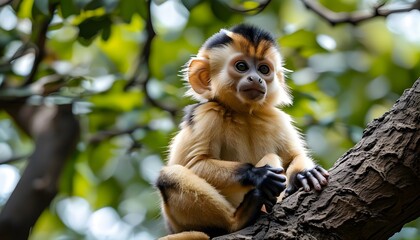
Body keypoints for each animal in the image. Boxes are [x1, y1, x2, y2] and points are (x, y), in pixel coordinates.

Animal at [156, 23, 330, 239]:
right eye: (241, 66)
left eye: (264, 69)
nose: (256, 78)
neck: (244, 113)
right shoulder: (207, 114)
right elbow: (194, 163)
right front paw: (258, 174)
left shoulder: (277, 118)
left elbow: (294, 157)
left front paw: (304, 175)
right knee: (169, 177)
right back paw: (242, 215)